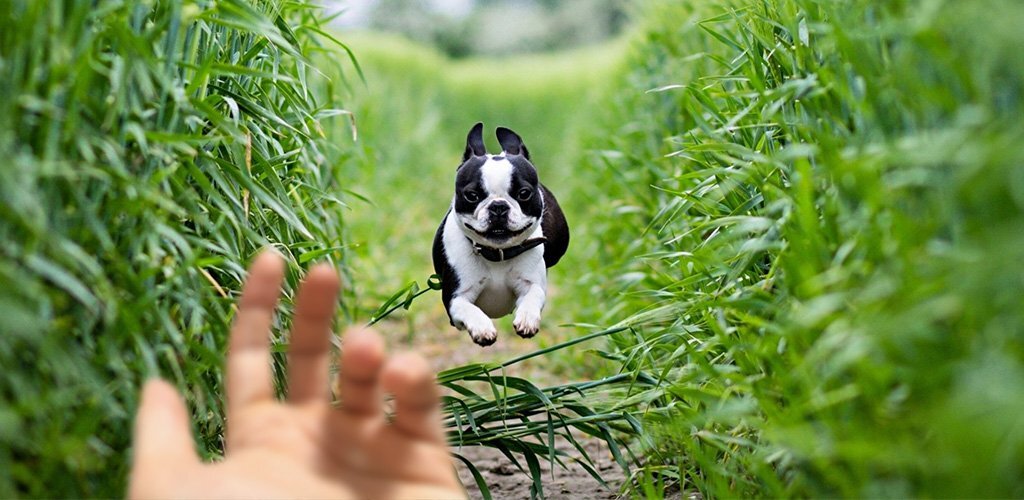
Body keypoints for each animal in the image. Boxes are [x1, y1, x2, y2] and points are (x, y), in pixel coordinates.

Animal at [430, 122, 569, 346]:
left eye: (524, 193)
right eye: (472, 195)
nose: (498, 206)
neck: (497, 253)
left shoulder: (532, 283)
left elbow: (533, 295)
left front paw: (527, 319)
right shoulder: (454, 298)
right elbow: (469, 308)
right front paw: (482, 328)